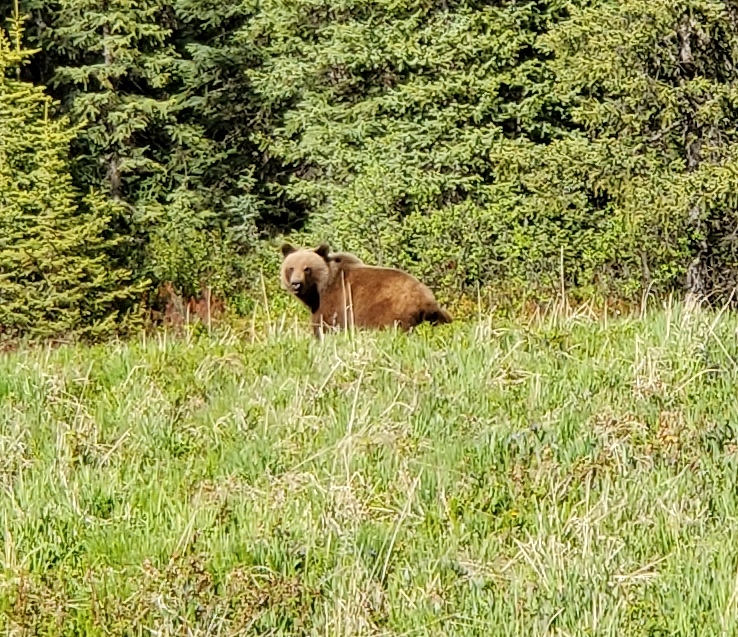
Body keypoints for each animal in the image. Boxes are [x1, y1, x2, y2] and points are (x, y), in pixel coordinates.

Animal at [280, 241, 448, 336]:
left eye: (307, 268)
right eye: (291, 268)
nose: (296, 284)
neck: (318, 290)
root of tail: (426, 299)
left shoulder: (334, 300)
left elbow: (324, 325)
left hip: (392, 310)